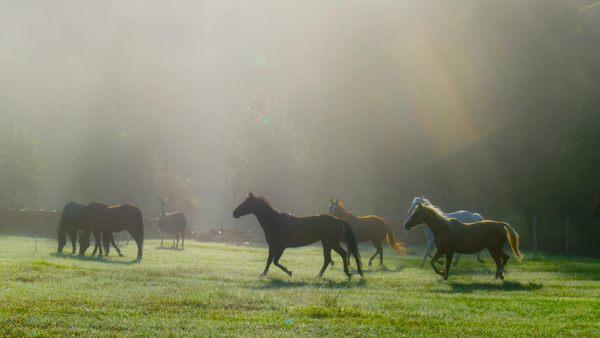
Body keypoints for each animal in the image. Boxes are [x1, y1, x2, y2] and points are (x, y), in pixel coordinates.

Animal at [233, 191, 364, 278]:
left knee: (341, 254)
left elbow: (274, 261)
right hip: (326, 243)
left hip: (331, 242)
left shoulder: (280, 246)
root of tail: (338, 220)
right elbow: (270, 261)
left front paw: (288, 272)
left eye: (246, 203)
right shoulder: (273, 246)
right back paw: (319, 275)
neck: (274, 221)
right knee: (328, 259)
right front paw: (264, 274)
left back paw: (347, 273)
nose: (234, 213)